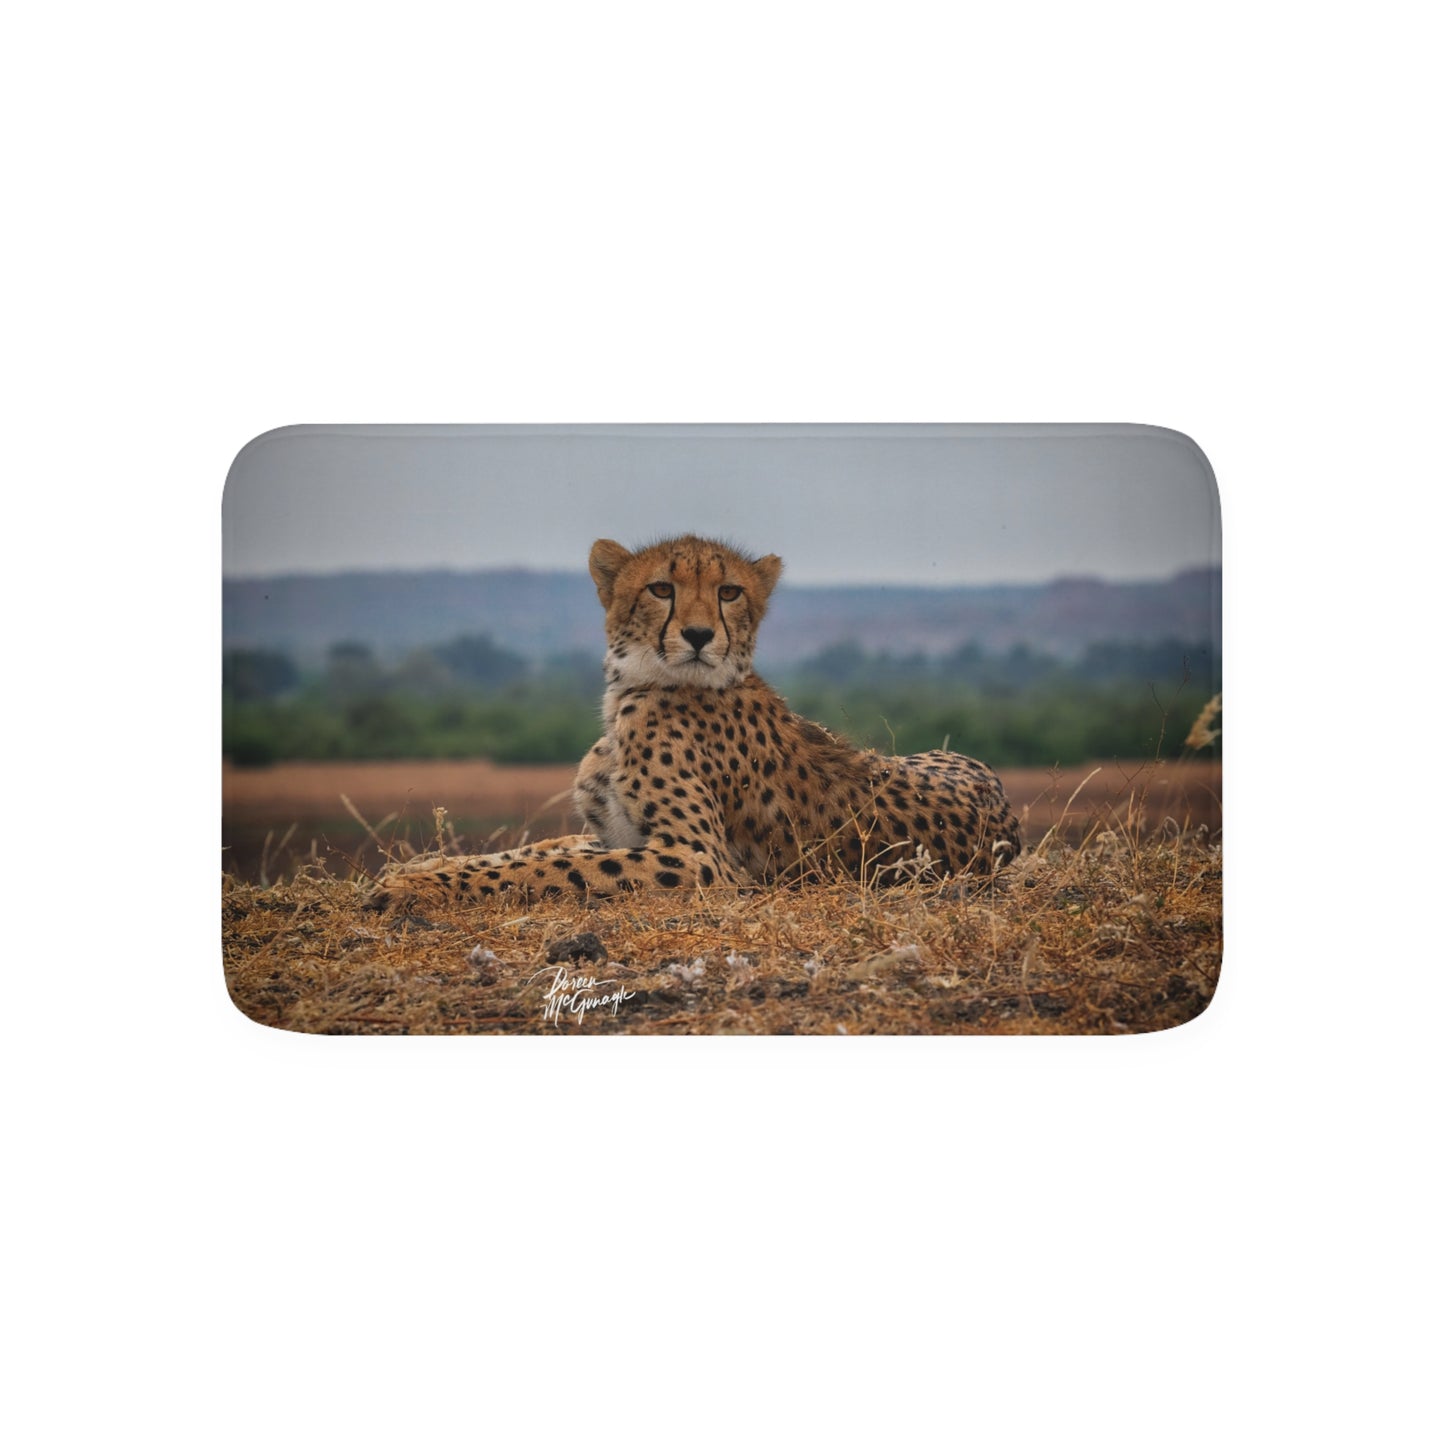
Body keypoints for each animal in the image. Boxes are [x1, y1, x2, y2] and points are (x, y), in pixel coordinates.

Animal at [369, 534, 1021, 909]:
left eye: (730, 592)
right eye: (661, 588)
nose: (701, 634)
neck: (634, 689)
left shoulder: (699, 859)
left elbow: (554, 867)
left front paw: (414, 887)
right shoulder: (617, 833)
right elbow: (530, 853)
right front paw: (417, 869)